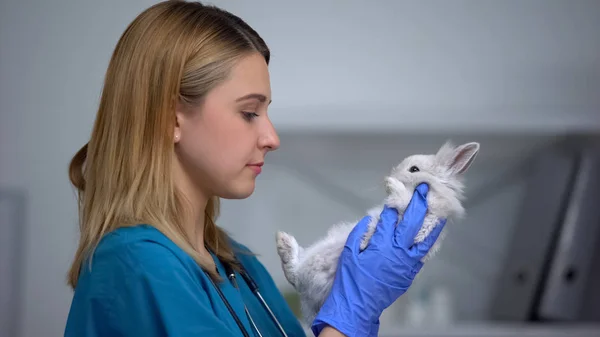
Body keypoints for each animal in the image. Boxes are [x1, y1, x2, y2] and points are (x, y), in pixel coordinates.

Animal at [276, 139, 478, 322]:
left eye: (414, 169)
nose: (388, 175)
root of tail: (309, 302)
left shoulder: (423, 220)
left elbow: (404, 200)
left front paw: (392, 186)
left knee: (294, 275)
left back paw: (283, 243)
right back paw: (284, 241)